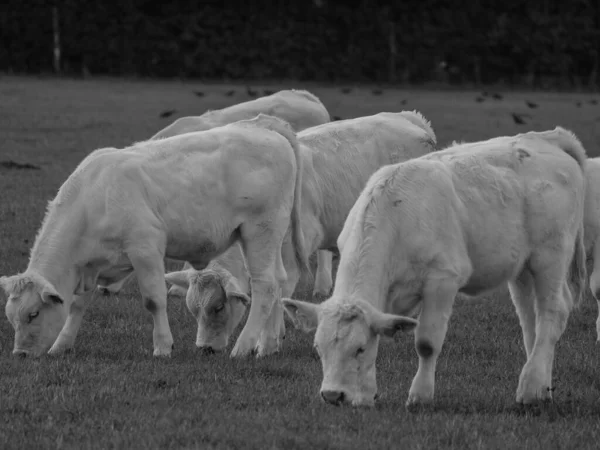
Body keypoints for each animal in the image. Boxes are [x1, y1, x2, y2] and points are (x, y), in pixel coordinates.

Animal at [0, 115, 310, 358]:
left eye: (33, 314)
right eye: (11, 318)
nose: (21, 354)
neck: (94, 198)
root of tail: (263, 126)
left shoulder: (145, 249)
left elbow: (153, 300)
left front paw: (162, 347)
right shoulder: (91, 265)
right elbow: (78, 304)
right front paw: (62, 345)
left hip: (259, 231)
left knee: (265, 286)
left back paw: (243, 347)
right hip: (273, 237)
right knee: (279, 281)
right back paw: (267, 345)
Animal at [163, 110, 436, 354]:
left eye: (218, 307)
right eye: (193, 310)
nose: (205, 348)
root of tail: (409, 117)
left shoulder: (291, 252)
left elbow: (279, 290)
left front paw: (267, 342)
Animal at [282, 126, 584, 408]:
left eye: (359, 348)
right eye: (318, 348)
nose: (333, 395)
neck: (396, 217)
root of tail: (547, 137)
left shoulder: (442, 281)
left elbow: (426, 343)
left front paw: (420, 395)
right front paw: (366, 394)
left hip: (550, 256)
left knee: (552, 312)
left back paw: (530, 388)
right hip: (522, 269)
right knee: (532, 322)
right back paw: (541, 384)